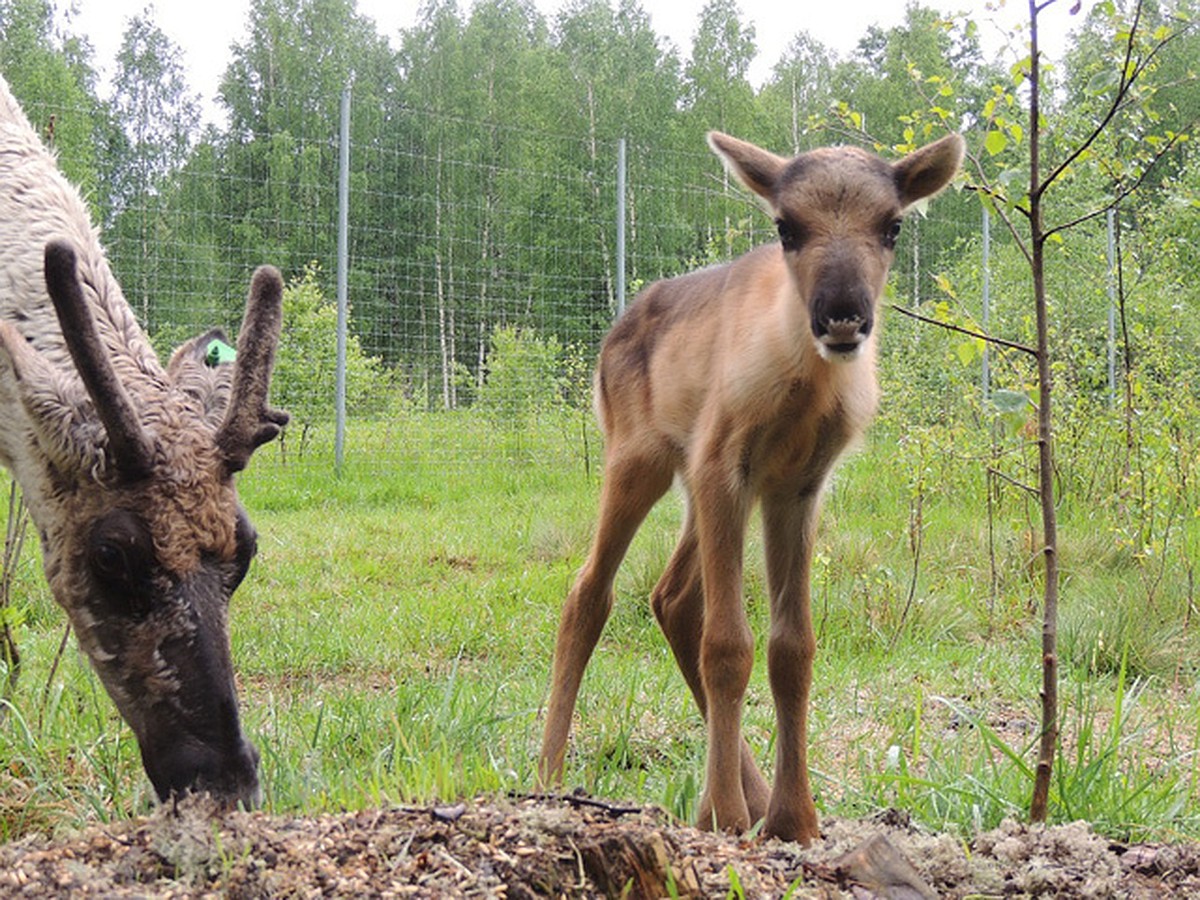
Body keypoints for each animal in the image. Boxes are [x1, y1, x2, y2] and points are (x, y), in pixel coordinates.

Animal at [540, 132, 960, 844]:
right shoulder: (724, 461)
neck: (803, 390)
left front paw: (796, 816)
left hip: (696, 486)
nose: (841, 316)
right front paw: (721, 814)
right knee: (590, 592)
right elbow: (728, 644)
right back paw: (548, 773)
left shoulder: (796, 484)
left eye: (893, 225)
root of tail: (610, 335)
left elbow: (792, 649)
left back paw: (756, 793)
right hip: (639, 456)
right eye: (786, 227)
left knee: (670, 597)